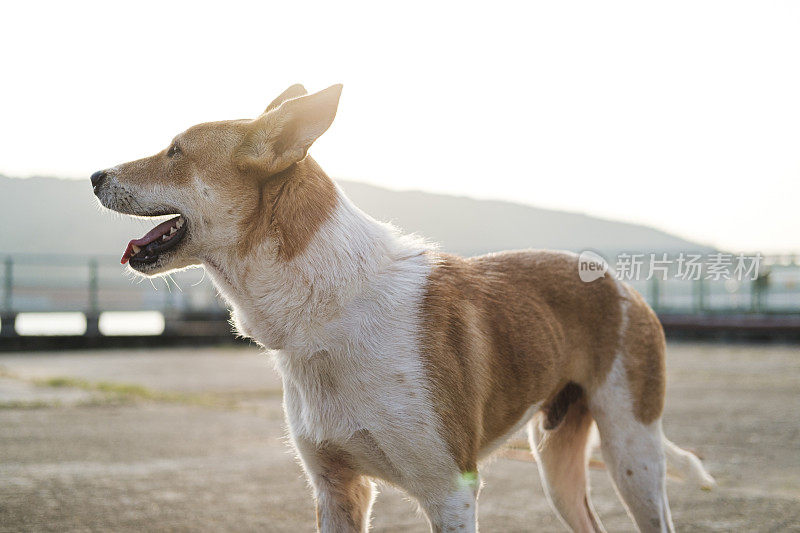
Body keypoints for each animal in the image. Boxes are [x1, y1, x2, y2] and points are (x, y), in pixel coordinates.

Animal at [92, 84, 712, 532]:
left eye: (175, 151)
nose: (95, 175)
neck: (329, 303)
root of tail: (621, 284)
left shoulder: (451, 491)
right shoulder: (337, 489)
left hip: (633, 452)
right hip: (558, 461)